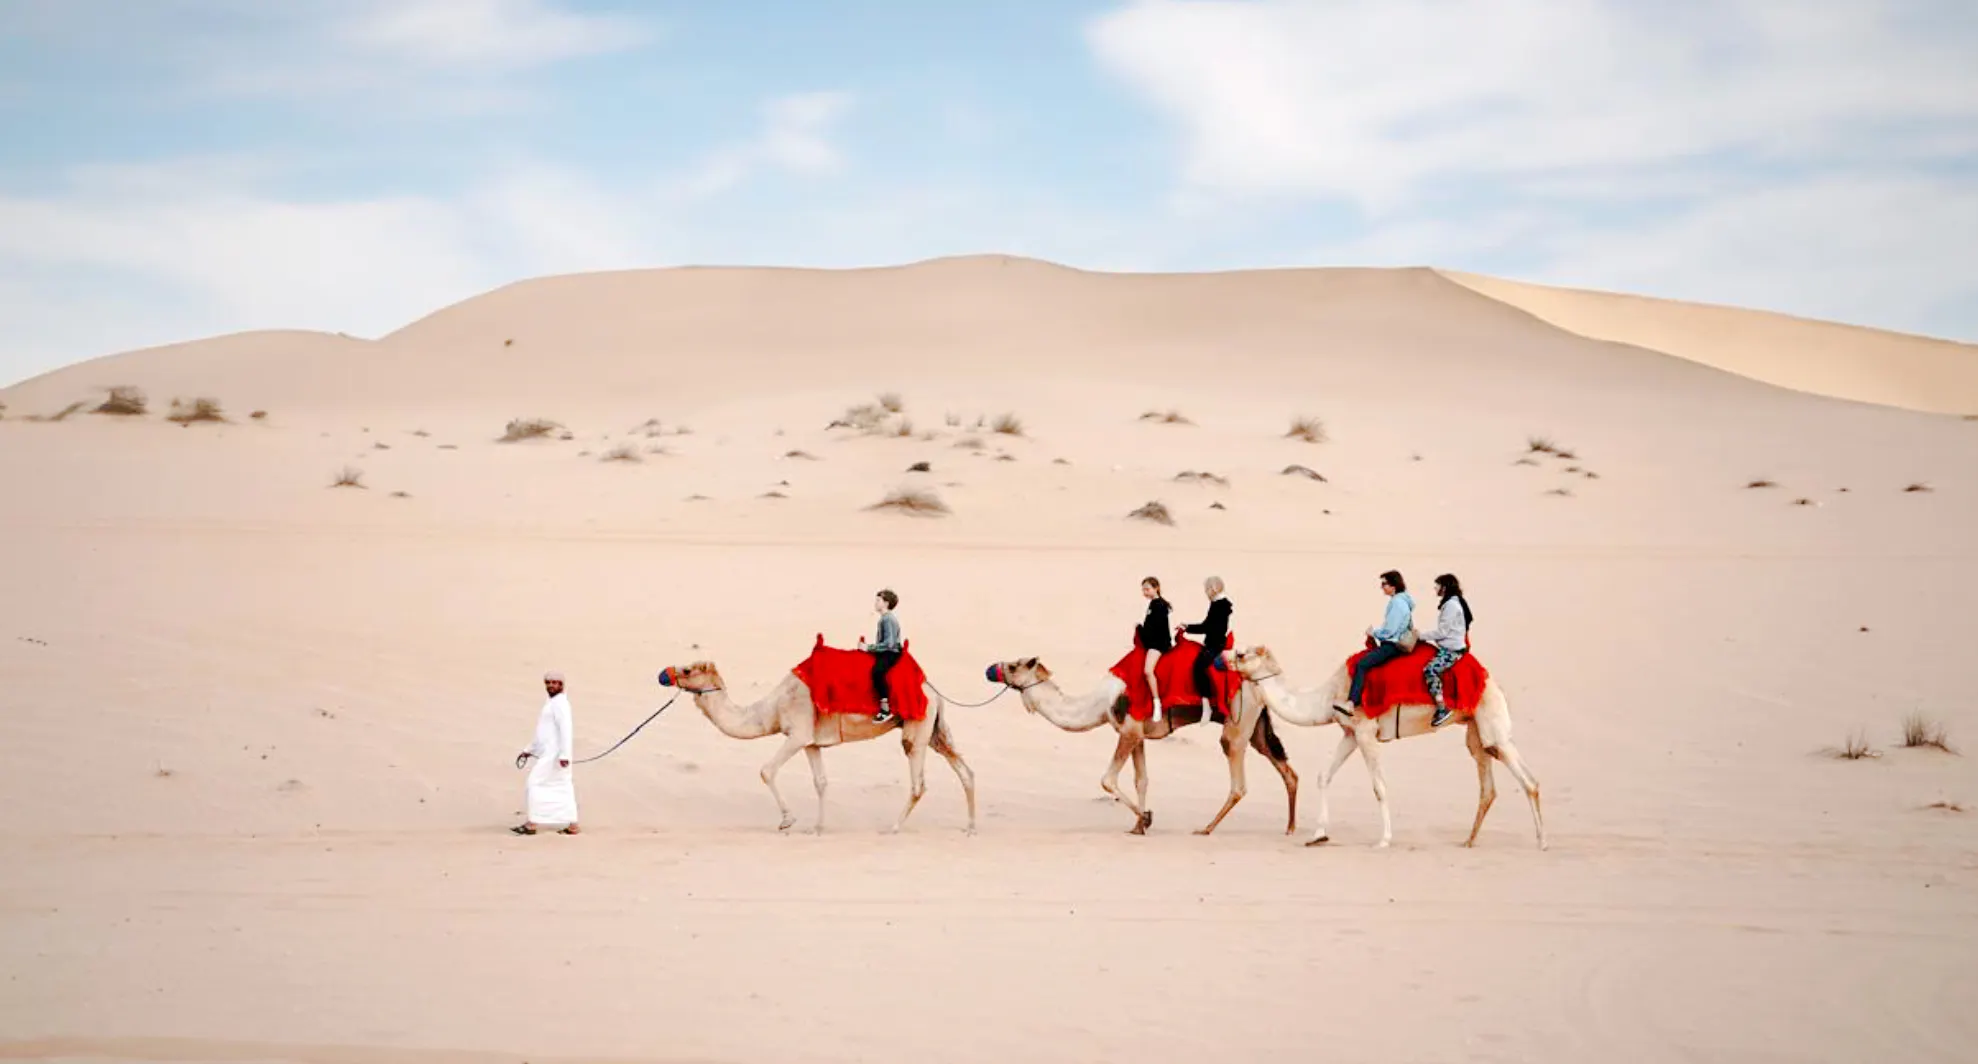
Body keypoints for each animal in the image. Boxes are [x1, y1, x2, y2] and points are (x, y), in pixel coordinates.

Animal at [659, 661, 977, 835]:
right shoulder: (811, 742)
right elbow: (821, 782)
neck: (771, 710)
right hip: (935, 730)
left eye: (687, 669)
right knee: (965, 771)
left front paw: (787, 821)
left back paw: (893, 828)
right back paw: (971, 827)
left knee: (918, 782)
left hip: (916, 728)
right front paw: (818, 828)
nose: (663, 674)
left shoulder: (797, 734)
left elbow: (766, 770)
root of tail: (936, 694)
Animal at [985, 656, 1296, 836]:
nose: (990, 669)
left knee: (1238, 780)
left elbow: (1107, 779)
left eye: (1013, 665)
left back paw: (1207, 828)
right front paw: (1138, 825)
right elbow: (1141, 779)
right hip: (1258, 725)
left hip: (1238, 721)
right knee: (1287, 771)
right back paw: (1290, 829)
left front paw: (1145, 819)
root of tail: (1258, 683)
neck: (1099, 704)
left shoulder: (1129, 731)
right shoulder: (1137, 735)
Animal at [1225, 645, 1544, 850]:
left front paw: (1384, 840)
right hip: (1476, 731)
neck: (1329, 696)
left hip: (1492, 724)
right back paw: (1469, 841)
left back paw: (1541, 841)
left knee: (1528, 780)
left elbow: (1379, 786)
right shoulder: (1350, 732)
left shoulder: (1366, 731)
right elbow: (1324, 776)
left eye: (1241, 653)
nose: (1221, 656)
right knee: (1488, 784)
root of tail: (1492, 682)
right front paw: (1318, 834)